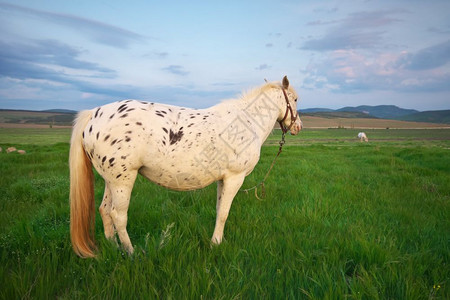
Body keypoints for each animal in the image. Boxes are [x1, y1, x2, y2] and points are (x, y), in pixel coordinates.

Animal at [69, 76, 302, 256]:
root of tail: (94, 114)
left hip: (110, 179)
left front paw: (216, 241)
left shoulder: (223, 179)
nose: (298, 126)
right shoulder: (235, 177)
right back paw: (131, 252)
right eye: (295, 99)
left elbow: (219, 210)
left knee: (104, 210)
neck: (246, 121)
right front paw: (216, 244)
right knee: (118, 215)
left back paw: (114, 247)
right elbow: (224, 213)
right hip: (123, 180)